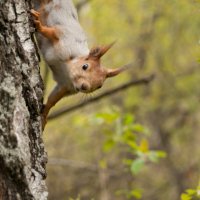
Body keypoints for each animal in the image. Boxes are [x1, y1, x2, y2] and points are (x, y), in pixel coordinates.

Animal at [31, 0, 128, 129]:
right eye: (85, 66)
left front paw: (44, 116)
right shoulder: (64, 36)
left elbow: (52, 100)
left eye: (100, 86)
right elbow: (49, 32)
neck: (66, 70)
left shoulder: (64, 86)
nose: (84, 86)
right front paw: (39, 25)